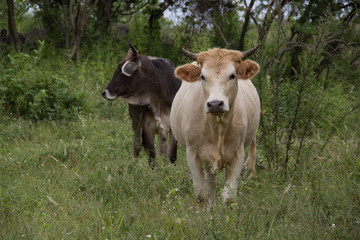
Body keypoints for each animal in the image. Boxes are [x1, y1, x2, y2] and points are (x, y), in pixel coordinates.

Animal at [170, 47, 260, 204]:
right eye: (203, 76)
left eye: (232, 75)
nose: (215, 104)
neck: (217, 127)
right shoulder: (192, 154)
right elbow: (201, 195)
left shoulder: (238, 154)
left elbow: (228, 196)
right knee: (210, 185)